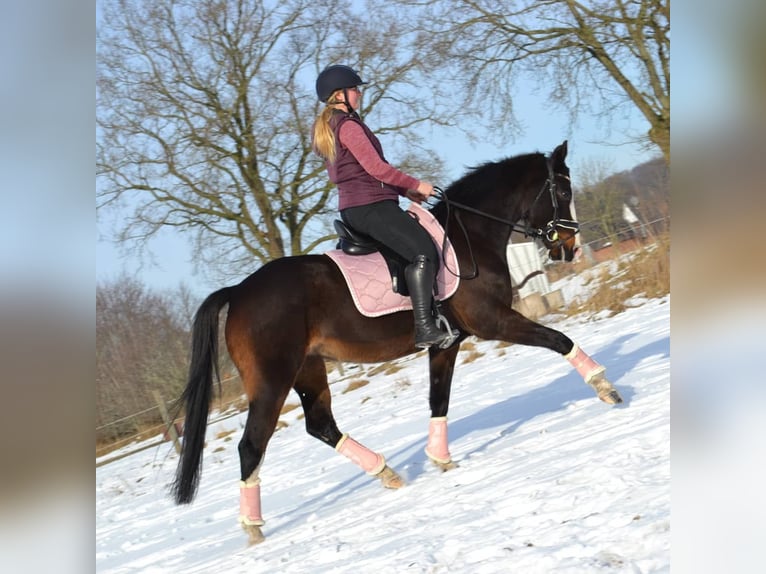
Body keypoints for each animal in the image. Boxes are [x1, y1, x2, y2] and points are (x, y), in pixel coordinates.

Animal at [170, 140, 623, 546]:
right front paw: (606, 388)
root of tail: (238, 291)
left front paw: (441, 458)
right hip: (271, 380)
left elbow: (438, 399)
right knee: (252, 445)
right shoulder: (493, 322)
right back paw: (253, 529)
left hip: (308, 369)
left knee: (321, 425)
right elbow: (559, 339)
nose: (569, 248)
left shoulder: (447, 343)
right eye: (562, 192)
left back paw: (386, 473)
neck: (469, 236)